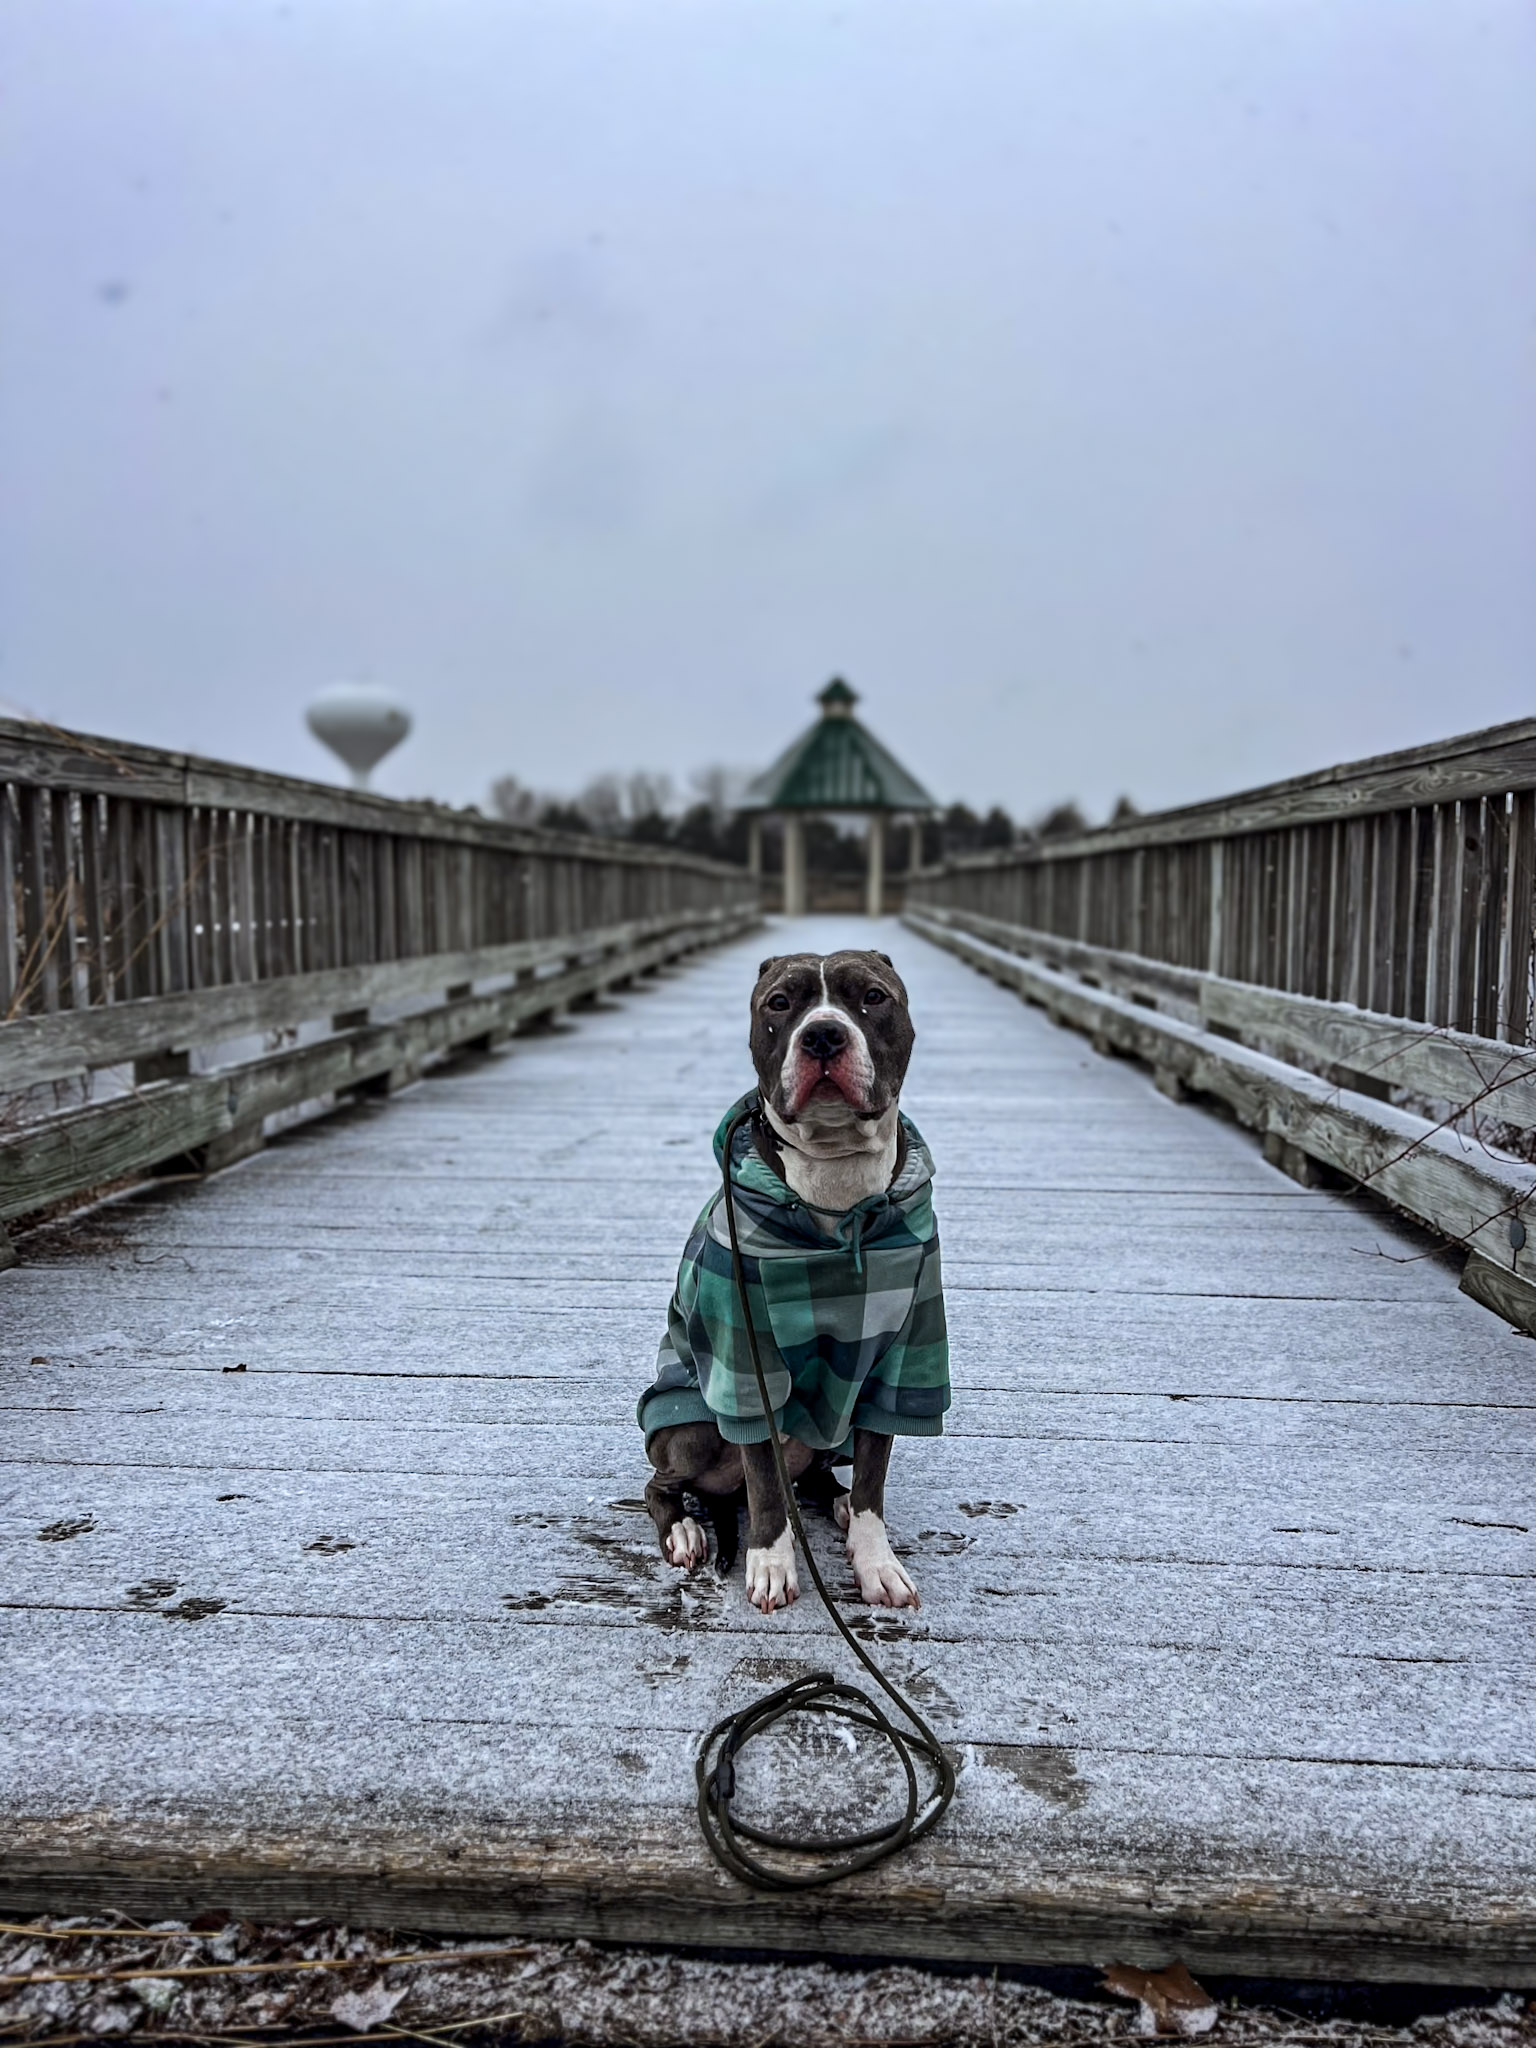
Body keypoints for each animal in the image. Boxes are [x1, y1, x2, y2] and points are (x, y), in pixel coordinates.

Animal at [638, 950, 950, 1605]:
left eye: (874, 996)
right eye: (779, 1003)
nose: (823, 1035)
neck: (834, 1187)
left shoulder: (903, 1358)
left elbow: (875, 1477)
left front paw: (876, 1561)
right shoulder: (746, 1364)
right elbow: (764, 1482)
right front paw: (771, 1563)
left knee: (819, 1479)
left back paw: (837, 1504)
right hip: (691, 1428)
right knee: (665, 1483)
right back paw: (683, 1529)